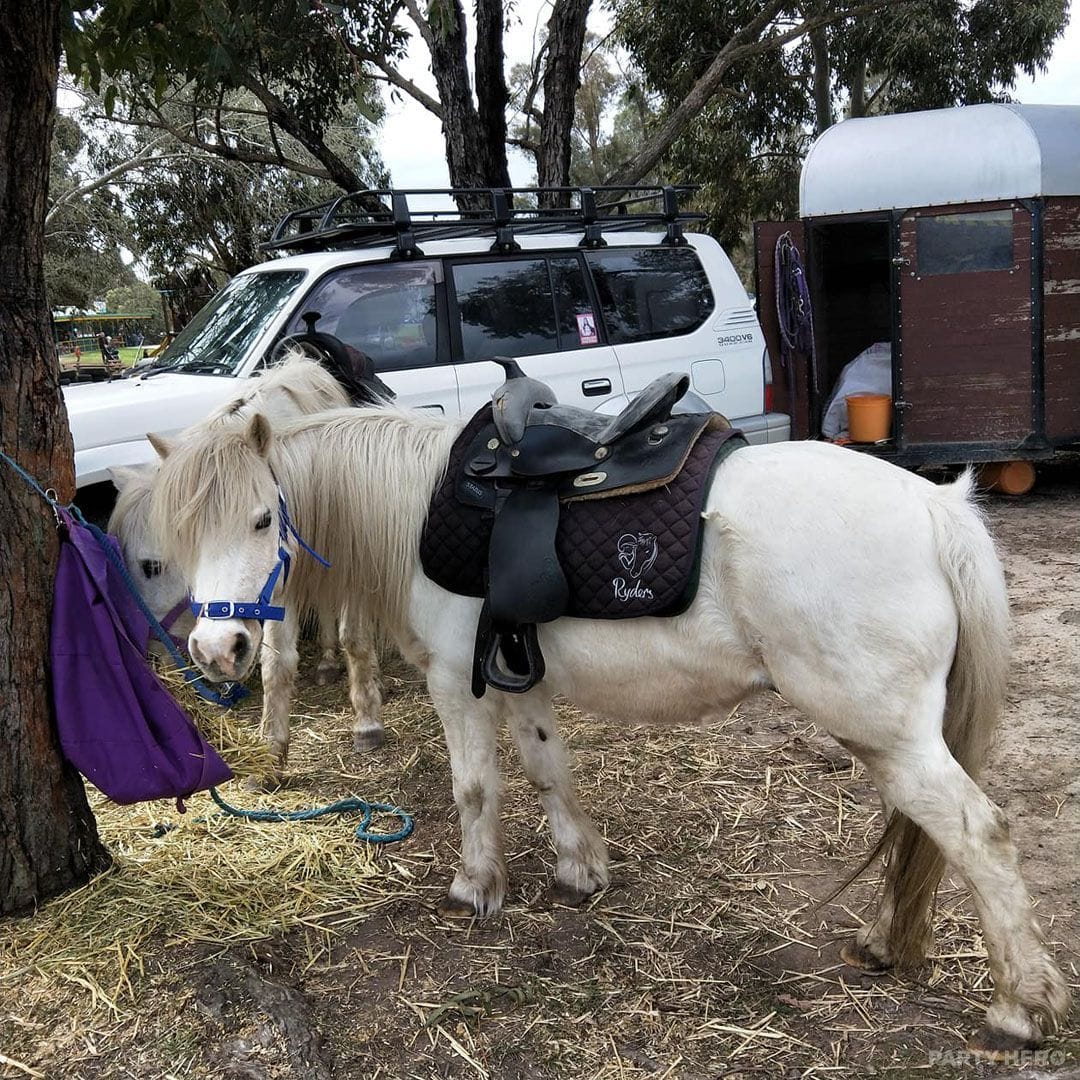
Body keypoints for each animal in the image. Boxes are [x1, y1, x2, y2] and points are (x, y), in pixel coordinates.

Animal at [109, 356, 386, 771]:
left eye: (153, 566)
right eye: (182, 540)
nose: (153, 654)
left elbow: (354, 637)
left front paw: (367, 719)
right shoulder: (278, 584)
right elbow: (275, 663)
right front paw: (271, 752)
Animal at [147, 402, 1070, 1054]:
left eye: (263, 519)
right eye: (181, 533)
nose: (218, 648)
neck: (419, 515)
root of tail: (937, 508)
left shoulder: (457, 685)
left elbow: (475, 786)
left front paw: (477, 887)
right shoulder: (516, 675)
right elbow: (547, 767)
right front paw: (579, 868)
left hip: (890, 736)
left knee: (978, 835)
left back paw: (1021, 1007)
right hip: (890, 736)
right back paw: (888, 943)